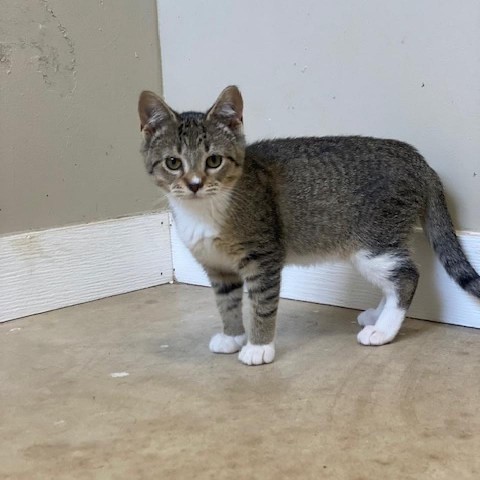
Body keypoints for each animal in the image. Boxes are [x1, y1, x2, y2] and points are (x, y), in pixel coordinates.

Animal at [138, 86, 480, 366]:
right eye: (173, 163)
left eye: (213, 161)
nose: (194, 184)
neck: (203, 211)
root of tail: (417, 159)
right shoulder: (217, 267)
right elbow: (227, 302)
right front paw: (233, 336)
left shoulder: (264, 256)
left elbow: (261, 304)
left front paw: (259, 347)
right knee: (396, 276)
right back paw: (377, 316)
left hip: (374, 242)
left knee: (407, 276)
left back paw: (383, 330)